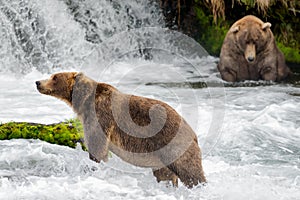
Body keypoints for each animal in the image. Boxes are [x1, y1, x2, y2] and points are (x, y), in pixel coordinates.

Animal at [35, 72, 206, 189]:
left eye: (55, 77)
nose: (37, 82)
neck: (84, 102)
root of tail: (193, 133)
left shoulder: (101, 114)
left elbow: (97, 145)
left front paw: (92, 166)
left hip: (174, 144)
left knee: (190, 171)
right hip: (160, 155)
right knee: (165, 174)